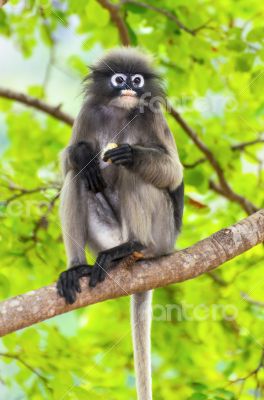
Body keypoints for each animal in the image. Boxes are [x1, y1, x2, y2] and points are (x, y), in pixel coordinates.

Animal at [56, 47, 184, 400]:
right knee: (78, 176)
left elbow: (173, 173)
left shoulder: (154, 117)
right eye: (118, 79)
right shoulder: (87, 112)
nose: (128, 86)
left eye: (136, 80)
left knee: (133, 174)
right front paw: (82, 153)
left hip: (163, 234)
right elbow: (69, 163)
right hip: (106, 236)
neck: (119, 110)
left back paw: (135, 244)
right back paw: (76, 267)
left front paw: (132, 154)